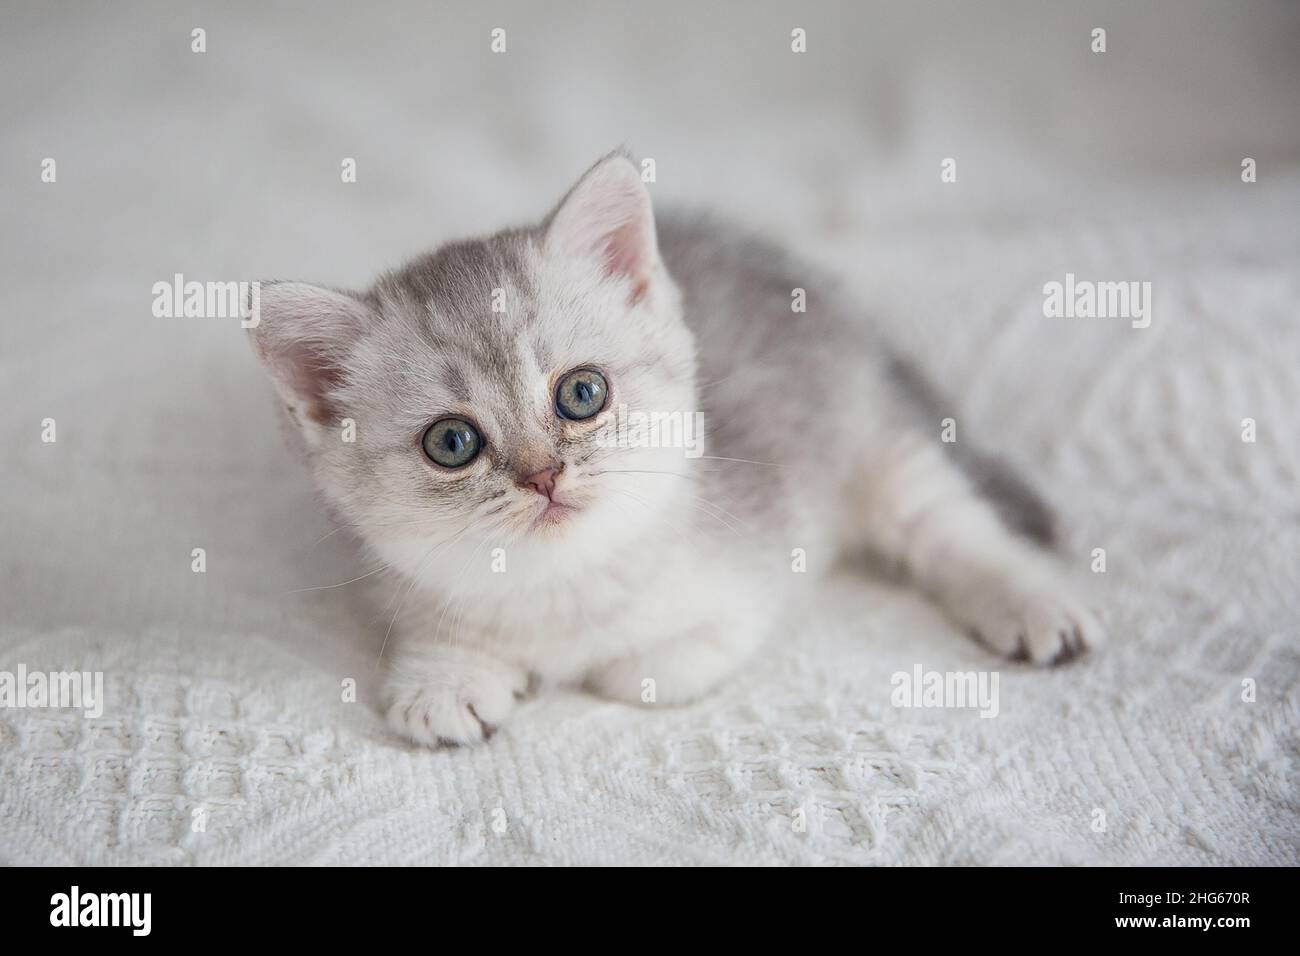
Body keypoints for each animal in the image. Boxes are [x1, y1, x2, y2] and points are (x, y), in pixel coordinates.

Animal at [248, 151, 1102, 749]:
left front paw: (609, 666)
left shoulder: (754, 575)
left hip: (872, 443)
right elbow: (443, 637)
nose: (543, 475)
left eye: (581, 394)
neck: (562, 589)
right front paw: (443, 679)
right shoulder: (404, 581)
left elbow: (657, 665)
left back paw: (1034, 603)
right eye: (451, 443)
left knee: (952, 525)